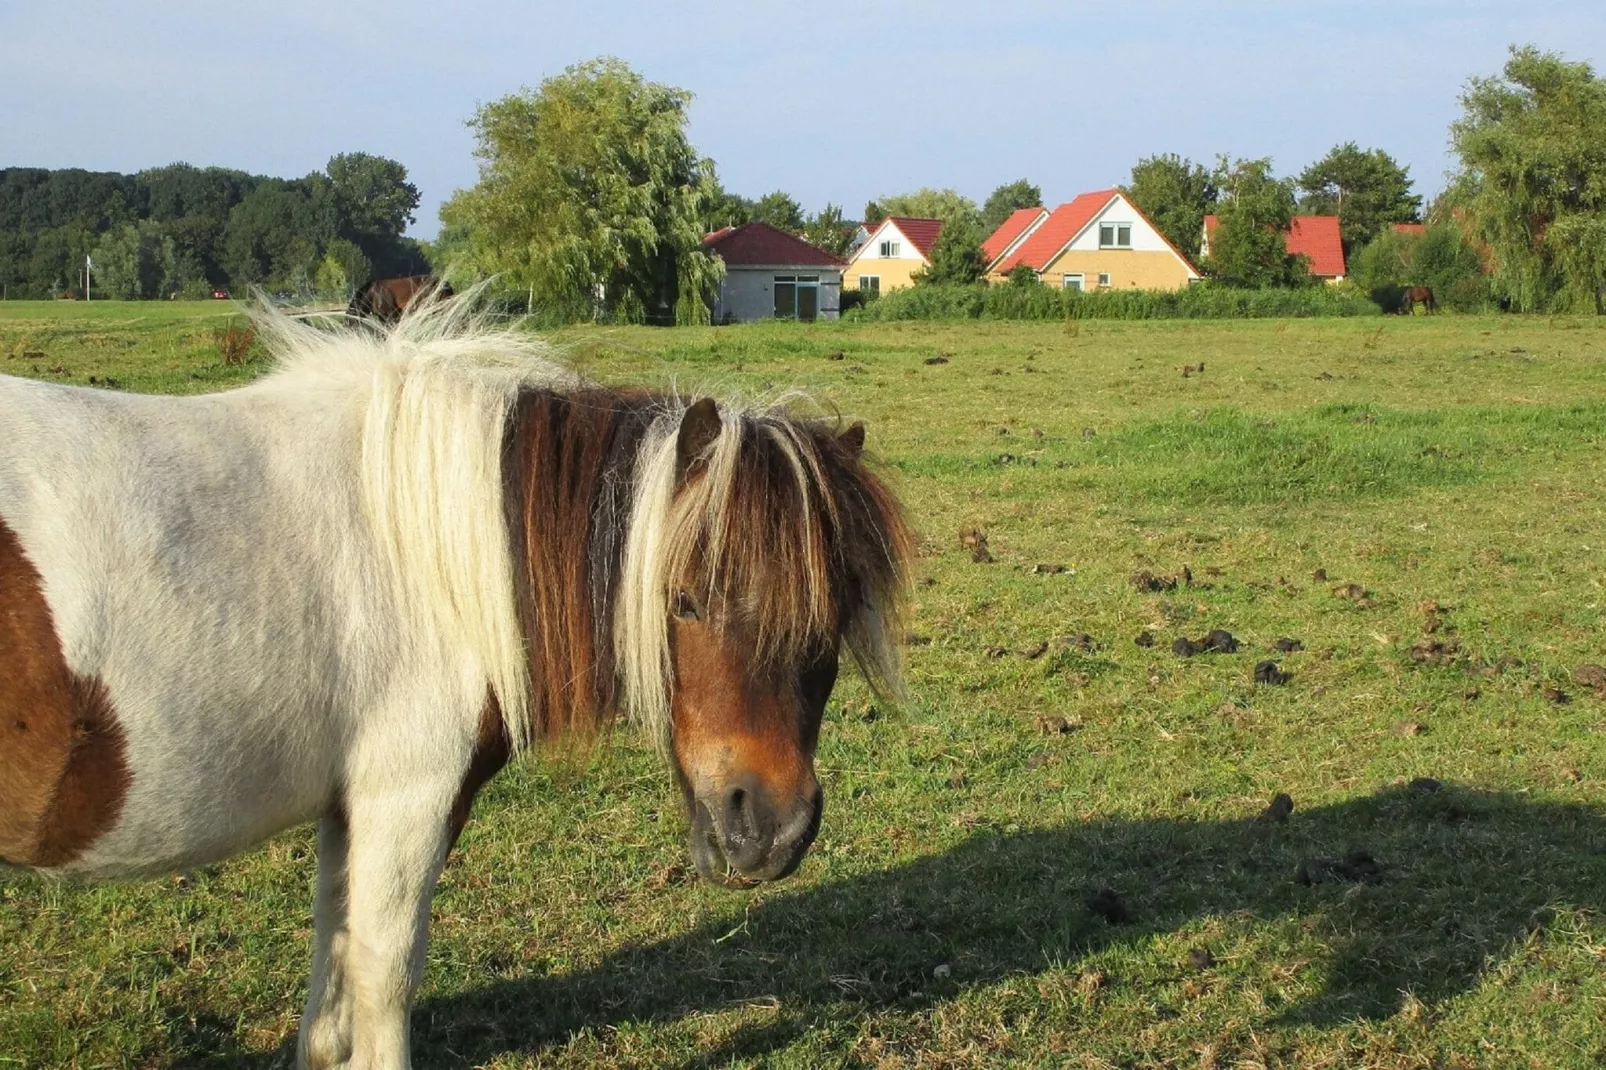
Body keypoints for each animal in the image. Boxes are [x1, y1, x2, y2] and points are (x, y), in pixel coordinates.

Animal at [0, 300, 912, 1066]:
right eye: (683, 599)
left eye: (836, 610)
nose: (770, 830)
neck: (429, 555)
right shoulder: (408, 797)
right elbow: (384, 976)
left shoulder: (350, 806)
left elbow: (332, 991)